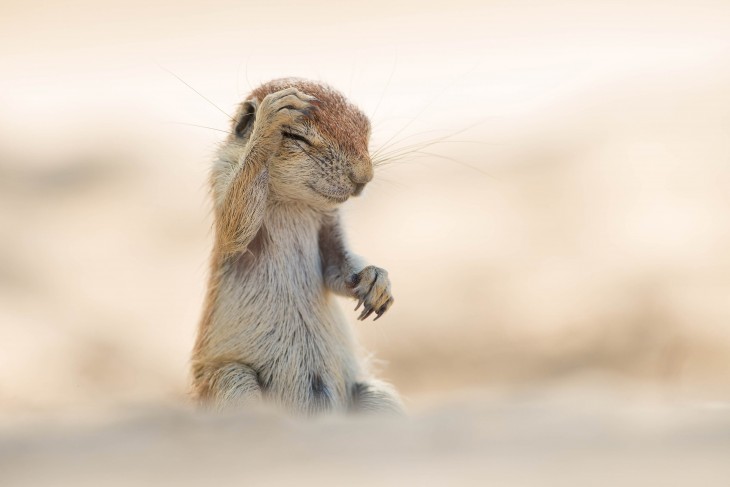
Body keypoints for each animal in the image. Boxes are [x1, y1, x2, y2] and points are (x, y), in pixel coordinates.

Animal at [191, 78, 400, 414]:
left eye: (365, 125)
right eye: (294, 136)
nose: (364, 177)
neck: (294, 202)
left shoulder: (330, 221)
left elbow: (336, 265)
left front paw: (376, 280)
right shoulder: (221, 175)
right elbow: (234, 227)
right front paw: (268, 122)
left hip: (378, 395)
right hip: (232, 380)